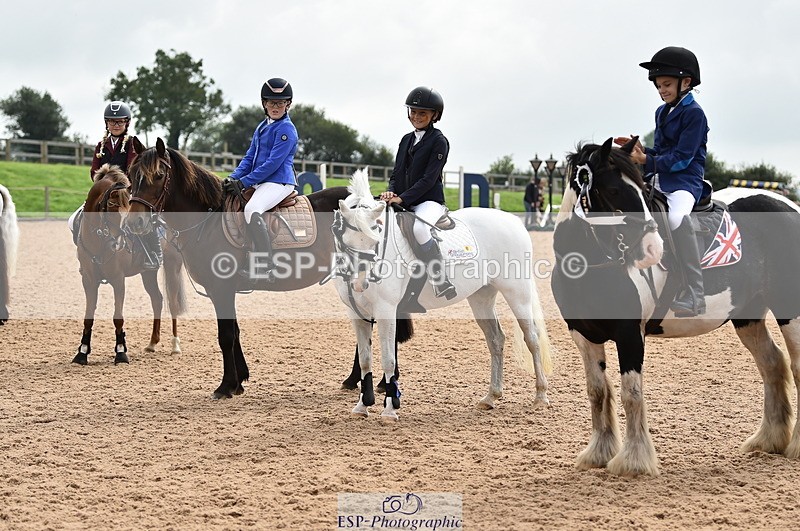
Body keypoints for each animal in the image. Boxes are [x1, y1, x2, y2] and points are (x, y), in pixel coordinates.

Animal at [73, 164, 185, 365]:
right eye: (111, 205)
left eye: (128, 205)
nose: (122, 239)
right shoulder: (88, 280)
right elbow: (88, 317)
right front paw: (82, 352)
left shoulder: (118, 280)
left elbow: (118, 317)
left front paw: (120, 352)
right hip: (148, 273)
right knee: (157, 299)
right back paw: (152, 344)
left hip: (173, 266)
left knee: (172, 303)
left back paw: (175, 346)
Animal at [122, 138, 398, 399]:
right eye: (131, 173)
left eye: (159, 175)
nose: (135, 223)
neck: (207, 218)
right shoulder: (222, 290)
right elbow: (234, 331)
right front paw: (239, 381)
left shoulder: (221, 289)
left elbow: (226, 336)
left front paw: (225, 386)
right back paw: (357, 380)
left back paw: (379, 382)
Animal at [330, 169, 553, 420]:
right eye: (345, 240)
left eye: (376, 236)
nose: (360, 283)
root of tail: (512, 221)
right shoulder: (356, 313)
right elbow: (365, 360)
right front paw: (362, 406)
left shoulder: (386, 310)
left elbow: (388, 360)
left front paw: (389, 410)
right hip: (482, 297)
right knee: (496, 340)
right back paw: (490, 397)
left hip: (517, 293)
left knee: (532, 338)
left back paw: (541, 396)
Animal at [551, 137, 800, 476]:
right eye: (614, 190)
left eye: (643, 189)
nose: (652, 249)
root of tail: (789, 207)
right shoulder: (583, 335)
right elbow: (598, 391)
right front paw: (598, 453)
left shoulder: (630, 335)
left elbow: (631, 393)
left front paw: (634, 460)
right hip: (747, 316)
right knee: (772, 363)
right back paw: (768, 440)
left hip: (790, 309)